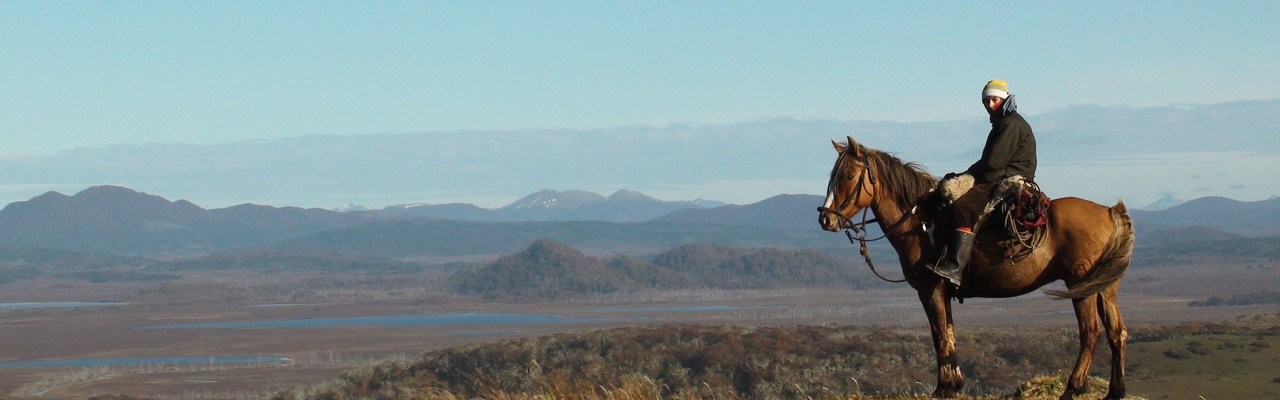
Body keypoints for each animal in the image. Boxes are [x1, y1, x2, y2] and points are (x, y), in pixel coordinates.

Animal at [819, 137, 1131, 400]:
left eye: (848, 176)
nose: (825, 220)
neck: (922, 224)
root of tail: (1108, 212)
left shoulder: (930, 290)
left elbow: (939, 336)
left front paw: (943, 388)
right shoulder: (944, 292)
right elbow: (950, 334)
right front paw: (953, 384)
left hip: (1080, 287)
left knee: (1090, 333)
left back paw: (1072, 388)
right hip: (1104, 287)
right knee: (1116, 332)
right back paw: (1115, 391)